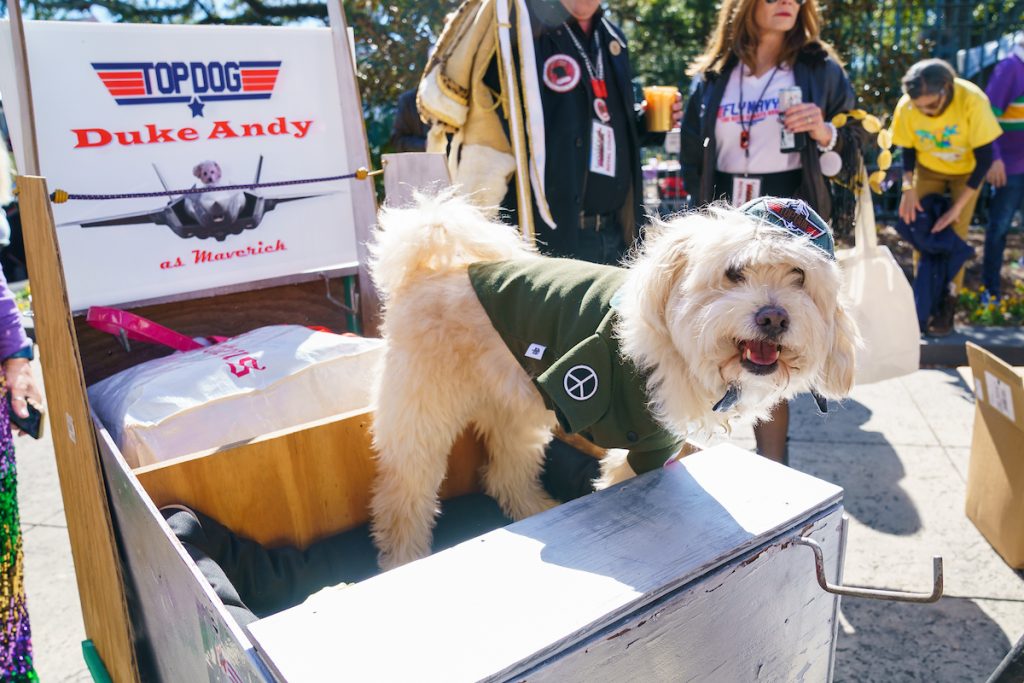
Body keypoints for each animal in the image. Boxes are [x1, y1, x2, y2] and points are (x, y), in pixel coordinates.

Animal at [368, 191, 856, 565]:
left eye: (799, 277)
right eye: (734, 272)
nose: (774, 317)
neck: (678, 345)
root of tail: (433, 268)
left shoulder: (660, 442)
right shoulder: (645, 447)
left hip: (514, 403)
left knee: (505, 470)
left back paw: (537, 508)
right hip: (422, 411)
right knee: (404, 492)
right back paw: (403, 558)